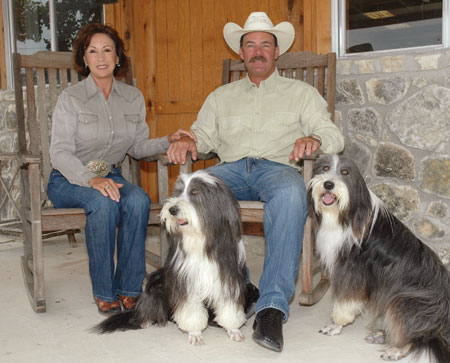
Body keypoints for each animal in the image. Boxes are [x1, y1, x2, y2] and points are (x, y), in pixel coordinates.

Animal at [94, 171, 246, 346]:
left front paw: (233, 329)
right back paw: (146, 320)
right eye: (179, 192)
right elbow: (191, 310)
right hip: (155, 286)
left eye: (195, 192)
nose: (172, 209)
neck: (200, 240)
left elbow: (229, 307)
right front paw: (195, 333)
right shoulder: (185, 281)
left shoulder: (228, 277)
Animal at [310, 154, 450, 363]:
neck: (344, 213)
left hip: (407, 301)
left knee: (418, 335)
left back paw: (396, 349)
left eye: (345, 172)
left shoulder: (352, 271)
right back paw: (381, 335)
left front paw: (336, 325)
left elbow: (344, 303)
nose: (328, 184)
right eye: (325, 168)